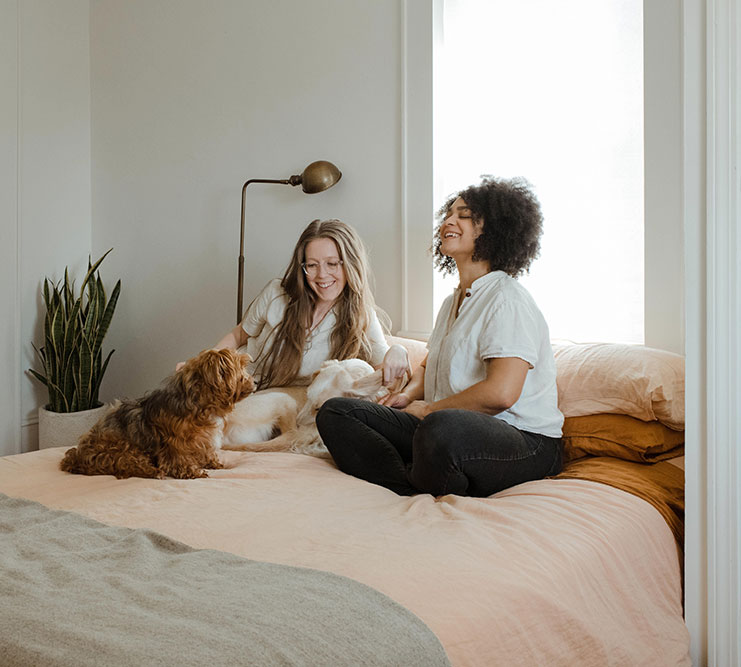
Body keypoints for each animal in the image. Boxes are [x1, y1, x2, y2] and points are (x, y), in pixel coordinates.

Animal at [59, 350, 254, 480]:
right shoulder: (174, 442)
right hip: (121, 448)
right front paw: (191, 471)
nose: (255, 381)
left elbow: (205, 452)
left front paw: (213, 463)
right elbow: (178, 458)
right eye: (240, 370)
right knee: (128, 464)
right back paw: (153, 471)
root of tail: (76, 457)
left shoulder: (202, 439)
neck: (200, 405)